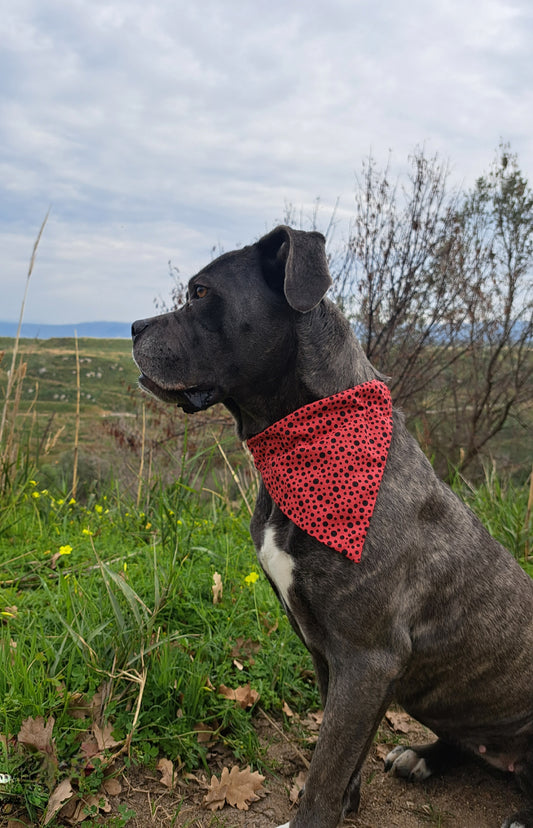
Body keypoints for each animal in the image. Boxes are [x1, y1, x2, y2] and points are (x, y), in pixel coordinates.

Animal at [132, 226, 532, 828]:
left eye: (200, 293)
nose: (133, 327)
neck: (299, 445)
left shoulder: (366, 659)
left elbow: (326, 768)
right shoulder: (332, 654)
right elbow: (345, 756)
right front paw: (348, 802)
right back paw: (422, 755)